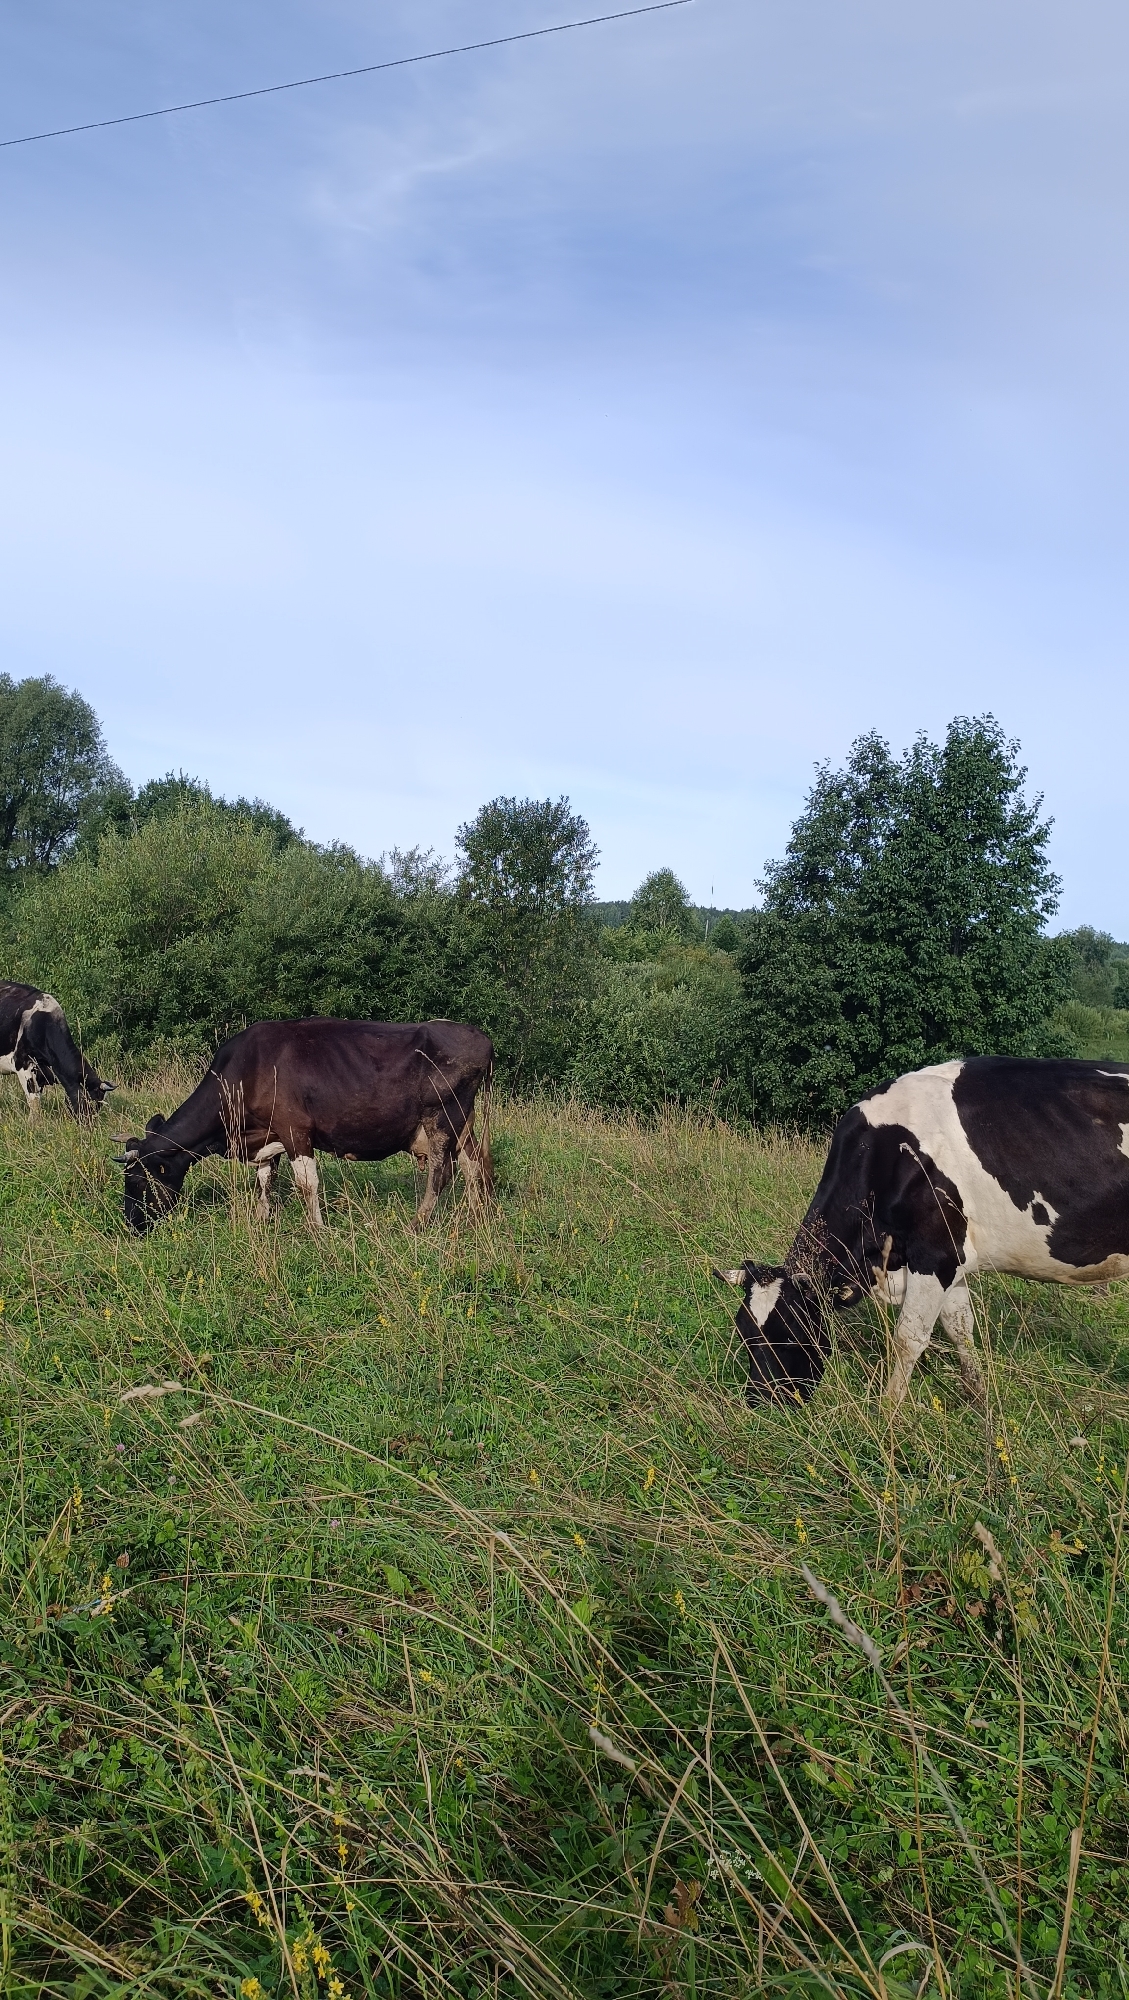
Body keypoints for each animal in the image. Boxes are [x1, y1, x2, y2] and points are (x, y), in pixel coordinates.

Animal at [119, 1017, 494, 1233]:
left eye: (137, 1181)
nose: (132, 1224)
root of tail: (479, 1036)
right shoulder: (268, 1136)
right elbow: (265, 1180)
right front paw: (262, 1219)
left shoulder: (295, 1130)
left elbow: (306, 1183)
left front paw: (317, 1229)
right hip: (463, 1123)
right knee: (474, 1164)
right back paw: (476, 1217)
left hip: (443, 1115)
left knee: (443, 1172)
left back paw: (417, 1223)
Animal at [715, 1057, 1129, 1412]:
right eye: (743, 1332)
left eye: (791, 1331)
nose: (759, 1401)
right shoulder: (953, 1259)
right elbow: (960, 1327)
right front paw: (978, 1398)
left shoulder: (935, 1256)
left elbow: (908, 1338)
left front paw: (888, 1412)